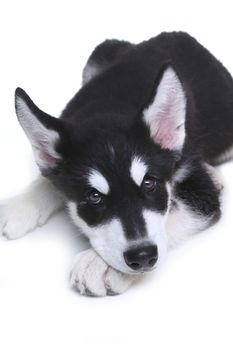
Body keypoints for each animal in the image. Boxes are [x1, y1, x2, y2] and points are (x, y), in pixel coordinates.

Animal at [0, 32, 232, 296]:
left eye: (149, 184)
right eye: (94, 196)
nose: (142, 256)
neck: (108, 109)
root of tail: (182, 35)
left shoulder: (196, 186)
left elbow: (175, 211)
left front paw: (100, 265)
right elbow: (49, 177)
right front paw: (21, 205)